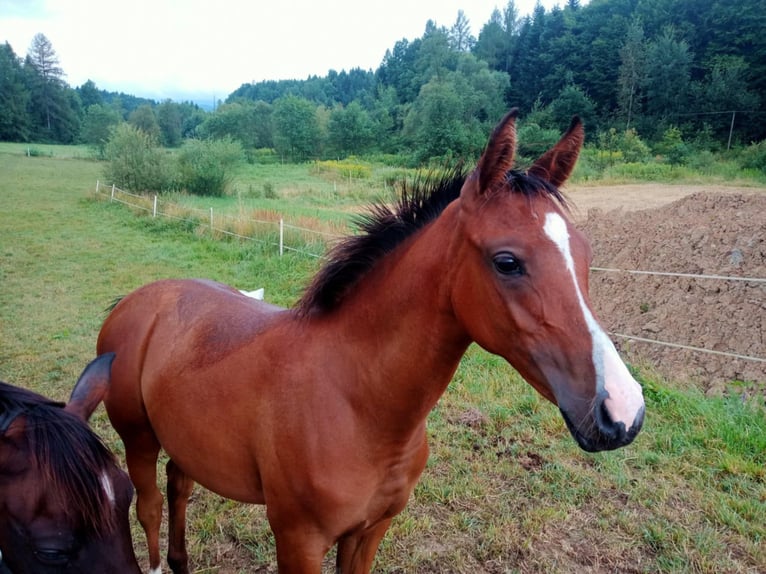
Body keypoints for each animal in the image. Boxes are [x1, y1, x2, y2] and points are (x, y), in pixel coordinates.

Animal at [96, 110, 648, 572]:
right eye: (507, 261)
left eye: (585, 253)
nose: (622, 411)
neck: (357, 402)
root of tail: (134, 301)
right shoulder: (298, 541)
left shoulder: (370, 532)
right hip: (138, 440)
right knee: (149, 507)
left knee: (179, 487)